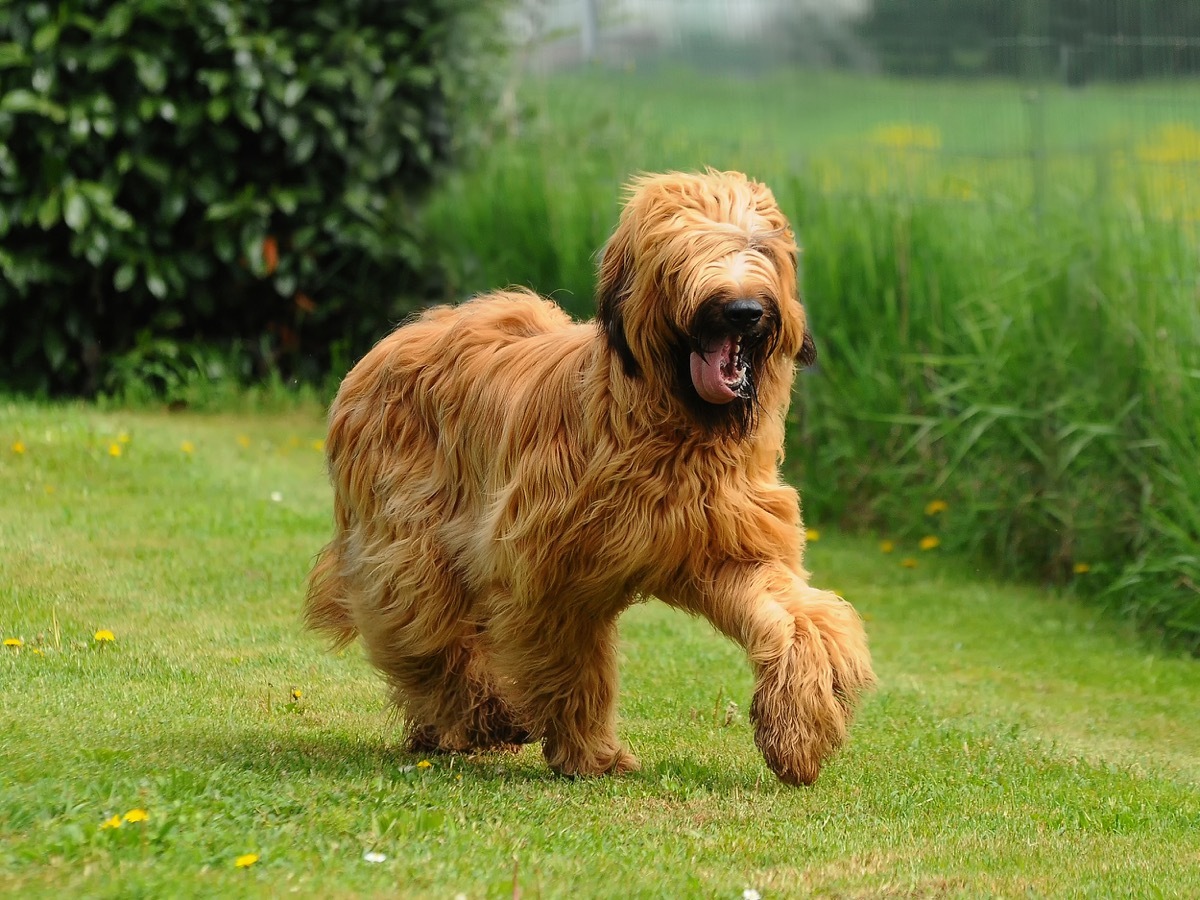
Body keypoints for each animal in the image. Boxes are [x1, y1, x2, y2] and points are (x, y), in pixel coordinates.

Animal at [307, 170, 873, 787]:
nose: (743, 310)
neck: (677, 428)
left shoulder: (728, 546)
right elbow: (573, 665)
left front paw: (798, 734)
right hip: (410, 538)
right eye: (684, 249)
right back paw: (480, 716)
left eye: (758, 247)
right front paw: (590, 756)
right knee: (425, 628)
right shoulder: (551, 573)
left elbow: (801, 620)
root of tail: (398, 340)